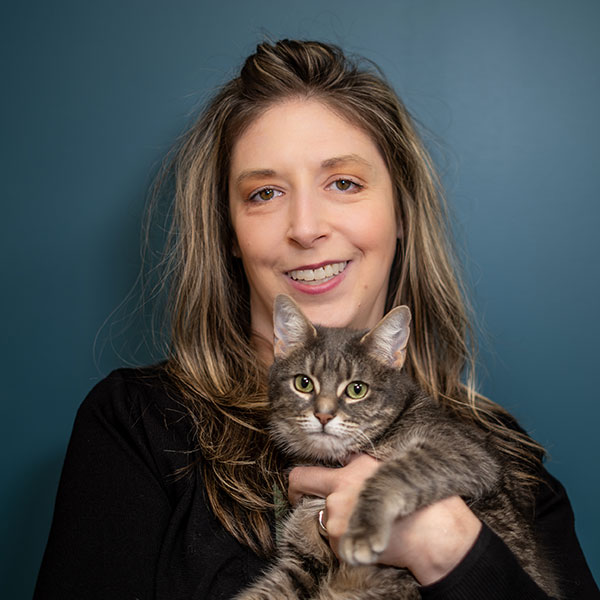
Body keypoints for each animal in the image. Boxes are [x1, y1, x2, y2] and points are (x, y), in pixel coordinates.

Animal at [234, 296, 556, 600]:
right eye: (303, 383)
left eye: (357, 389)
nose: (323, 415)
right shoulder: (302, 562)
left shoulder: (462, 450)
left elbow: (393, 473)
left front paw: (363, 530)